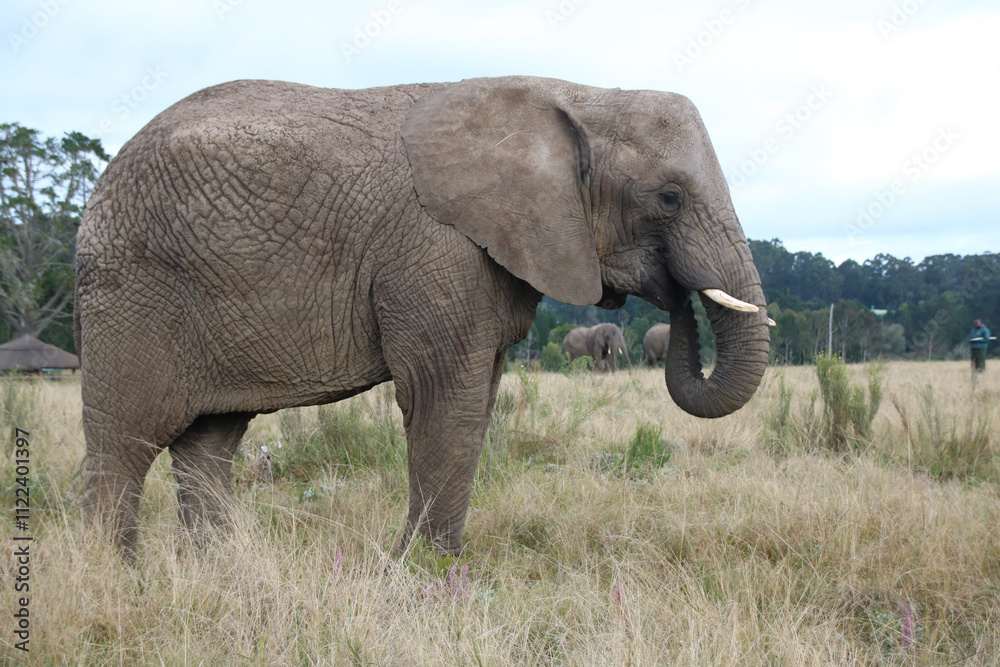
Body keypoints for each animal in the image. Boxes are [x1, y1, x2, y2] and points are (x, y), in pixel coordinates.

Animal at [74, 75, 770, 559]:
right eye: (669, 198)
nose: (675, 293)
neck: (575, 94)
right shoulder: (438, 249)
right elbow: (444, 398)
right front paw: (424, 575)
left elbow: (477, 399)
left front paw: (433, 566)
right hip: (129, 290)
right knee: (125, 443)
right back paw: (119, 582)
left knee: (208, 443)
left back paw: (217, 572)